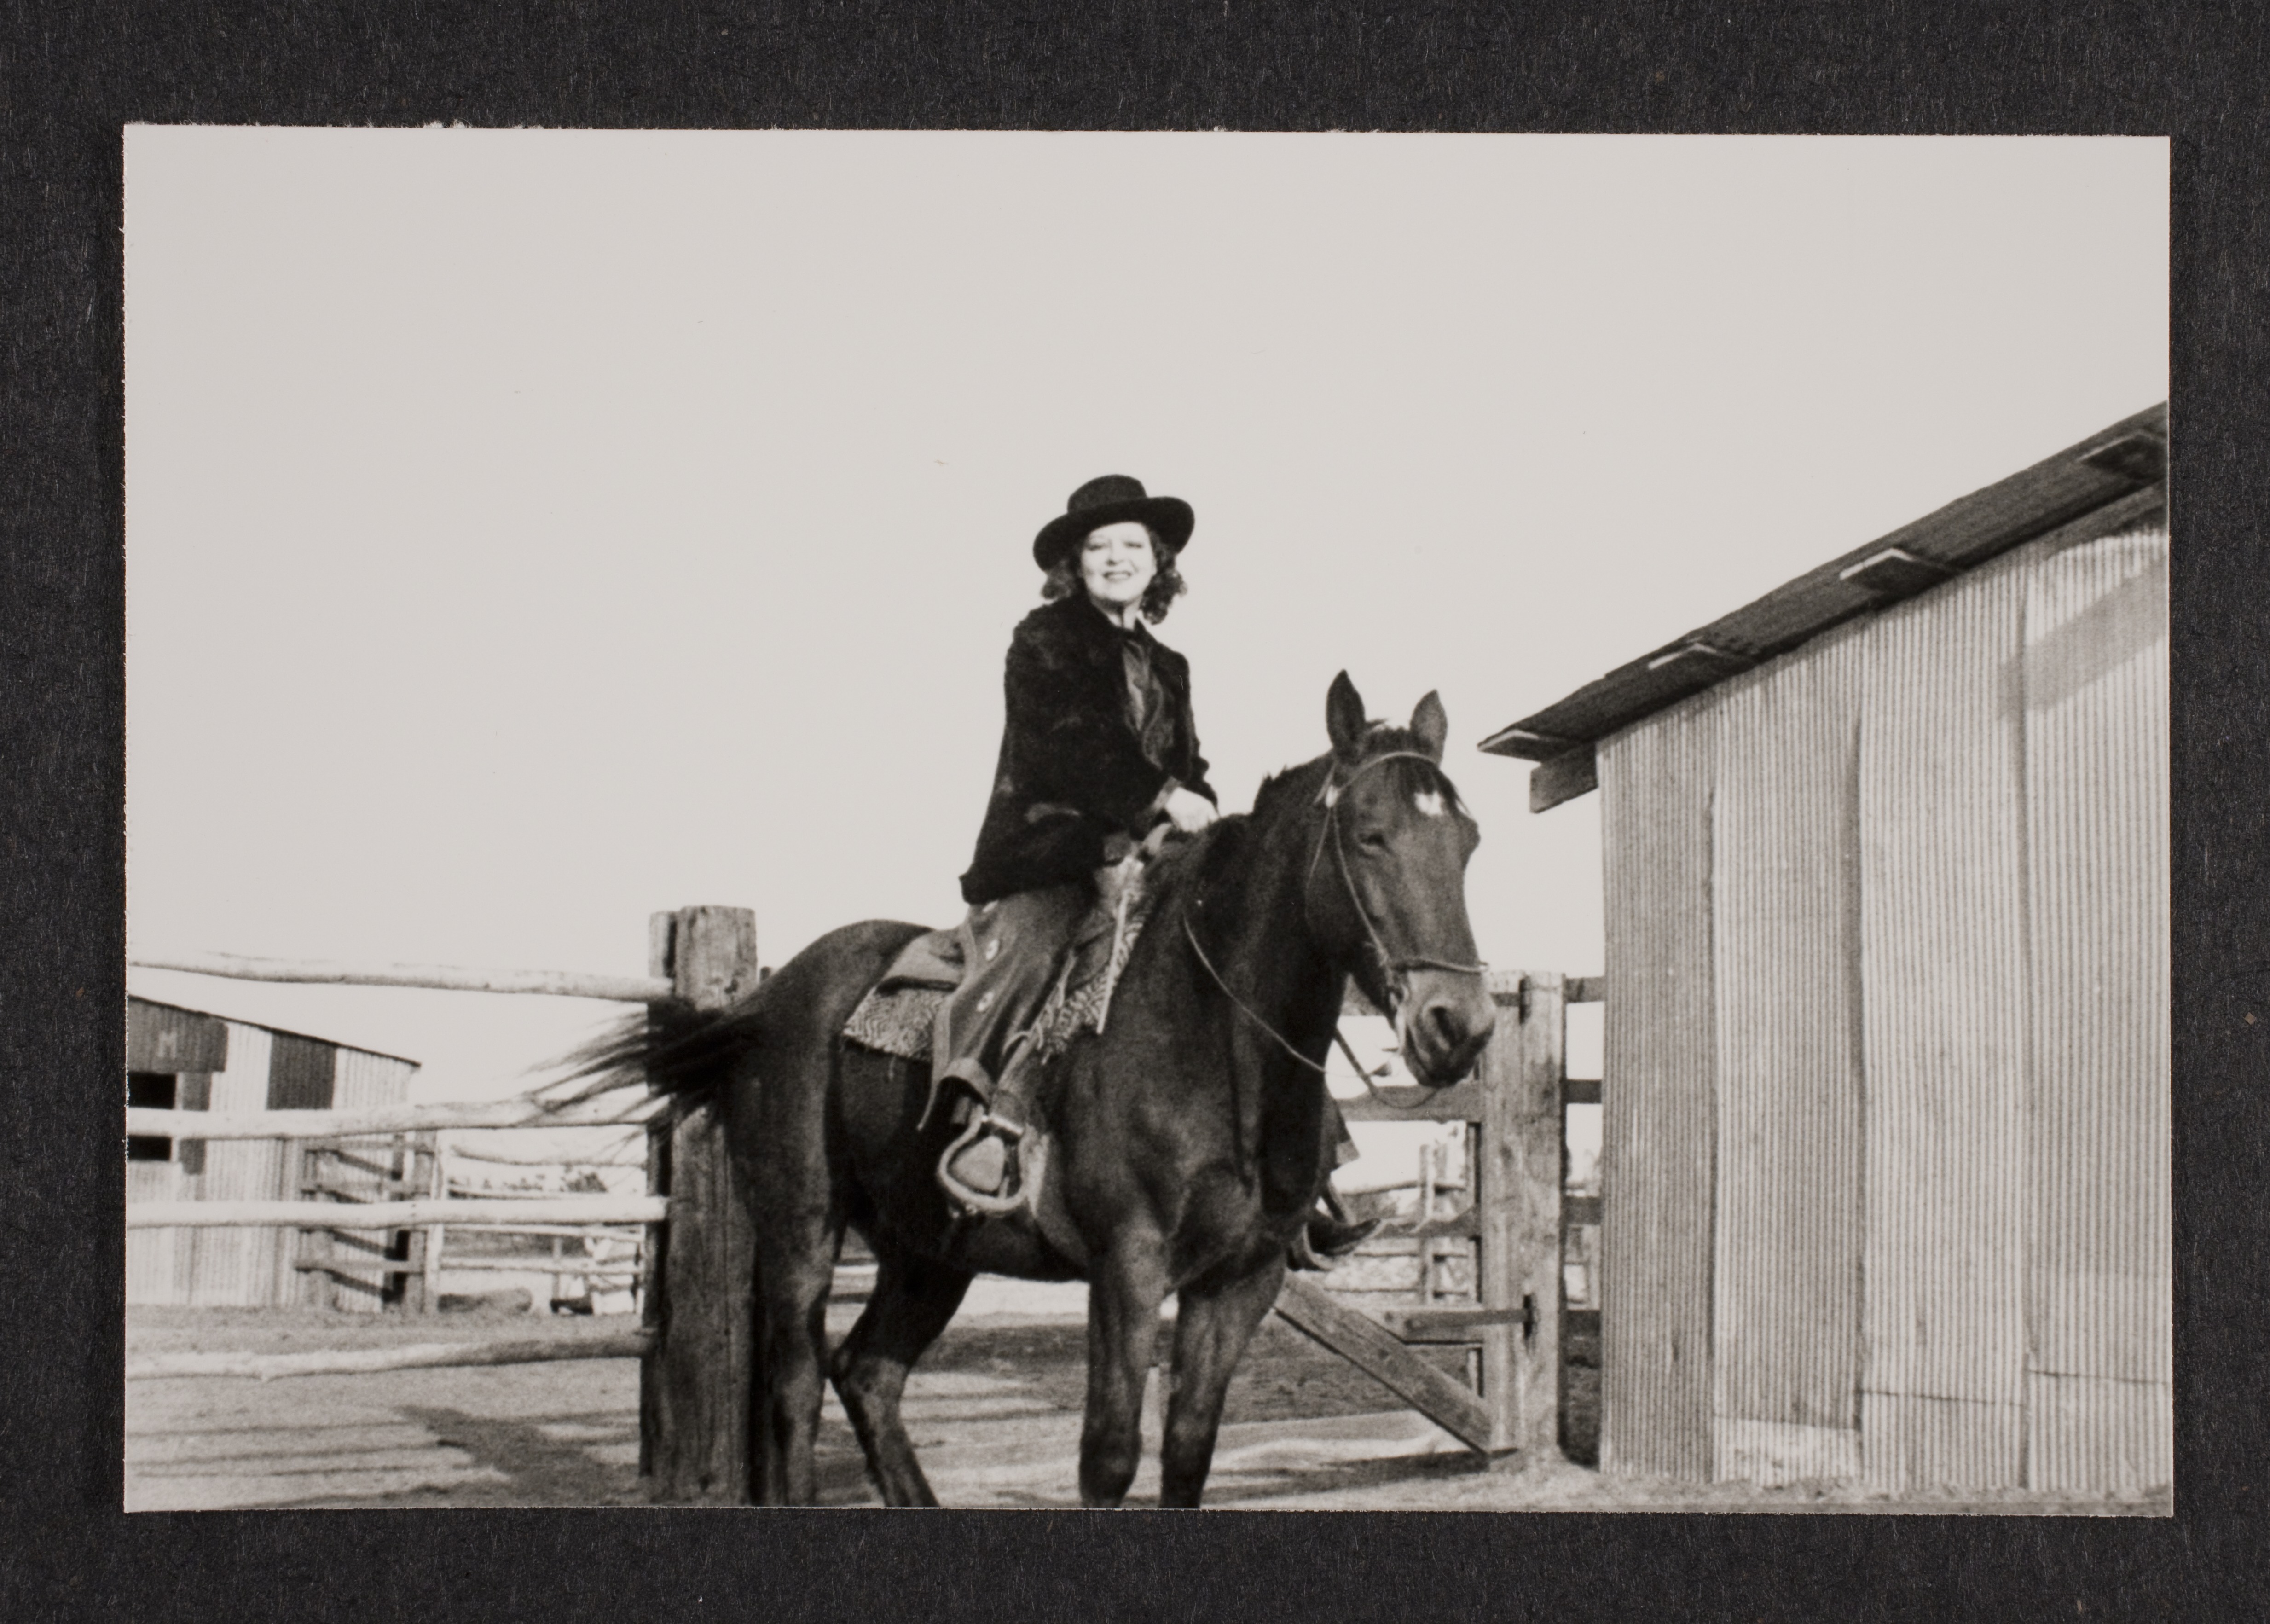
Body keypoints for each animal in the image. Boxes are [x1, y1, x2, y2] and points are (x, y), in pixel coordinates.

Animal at [590, 672, 1489, 1508]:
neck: (1216, 1048)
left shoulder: (1242, 1281)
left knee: (868, 1374)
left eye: (1470, 842)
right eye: (1370, 837)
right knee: (798, 1392)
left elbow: (1188, 1454)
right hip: (801, 1234)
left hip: (929, 1250)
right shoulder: (1127, 1264)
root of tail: (769, 997)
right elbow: (1110, 1457)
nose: (1459, 1025)